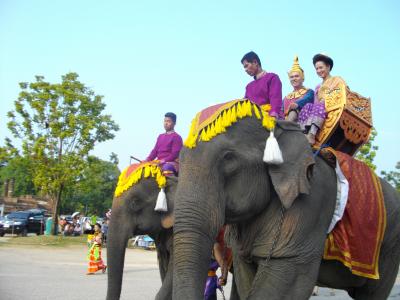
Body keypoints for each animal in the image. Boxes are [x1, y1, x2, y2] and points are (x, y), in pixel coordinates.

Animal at [173, 101, 400, 300]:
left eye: (229, 158)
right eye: (180, 160)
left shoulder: (311, 204)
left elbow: (289, 283)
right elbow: (246, 277)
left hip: (388, 247)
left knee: (372, 293)